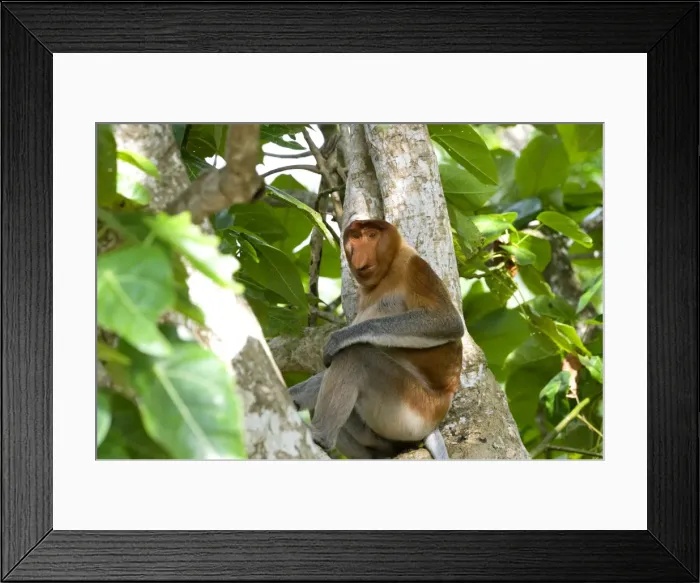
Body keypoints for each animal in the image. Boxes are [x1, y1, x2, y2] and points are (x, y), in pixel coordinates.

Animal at [289, 219, 465, 459]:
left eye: (371, 235)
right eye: (355, 237)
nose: (359, 254)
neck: (386, 273)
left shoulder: (414, 268)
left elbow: (446, 321)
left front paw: (340, 338)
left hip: (411, 409)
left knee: (357, 355)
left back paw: (319, 437)